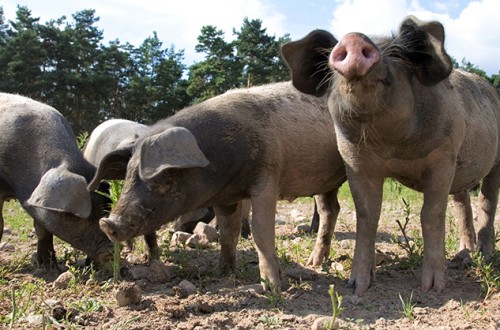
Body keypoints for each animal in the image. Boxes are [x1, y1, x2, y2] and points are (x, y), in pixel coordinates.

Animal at [90, 82, 348, 292]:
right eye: (128, 174)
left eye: (164, 174)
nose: (107, 223)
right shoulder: (227, 197)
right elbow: (227, 232)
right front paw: (223, 273)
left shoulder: (266, 177)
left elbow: (261, 233)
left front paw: (272, 288)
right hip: (326, 181)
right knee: (330, 209)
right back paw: (314, 263)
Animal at [282, 15, 500, 296]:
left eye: (396, 55)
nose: (353, 37)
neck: (393, 148)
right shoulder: (356, 161)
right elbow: (367, 214)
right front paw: (357, 287)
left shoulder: (444, 156)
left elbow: (431, 214)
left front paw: (432, 289)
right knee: (462, 203)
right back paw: (464, 254)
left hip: (495, 160)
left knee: (487, 201)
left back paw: (483, 255)